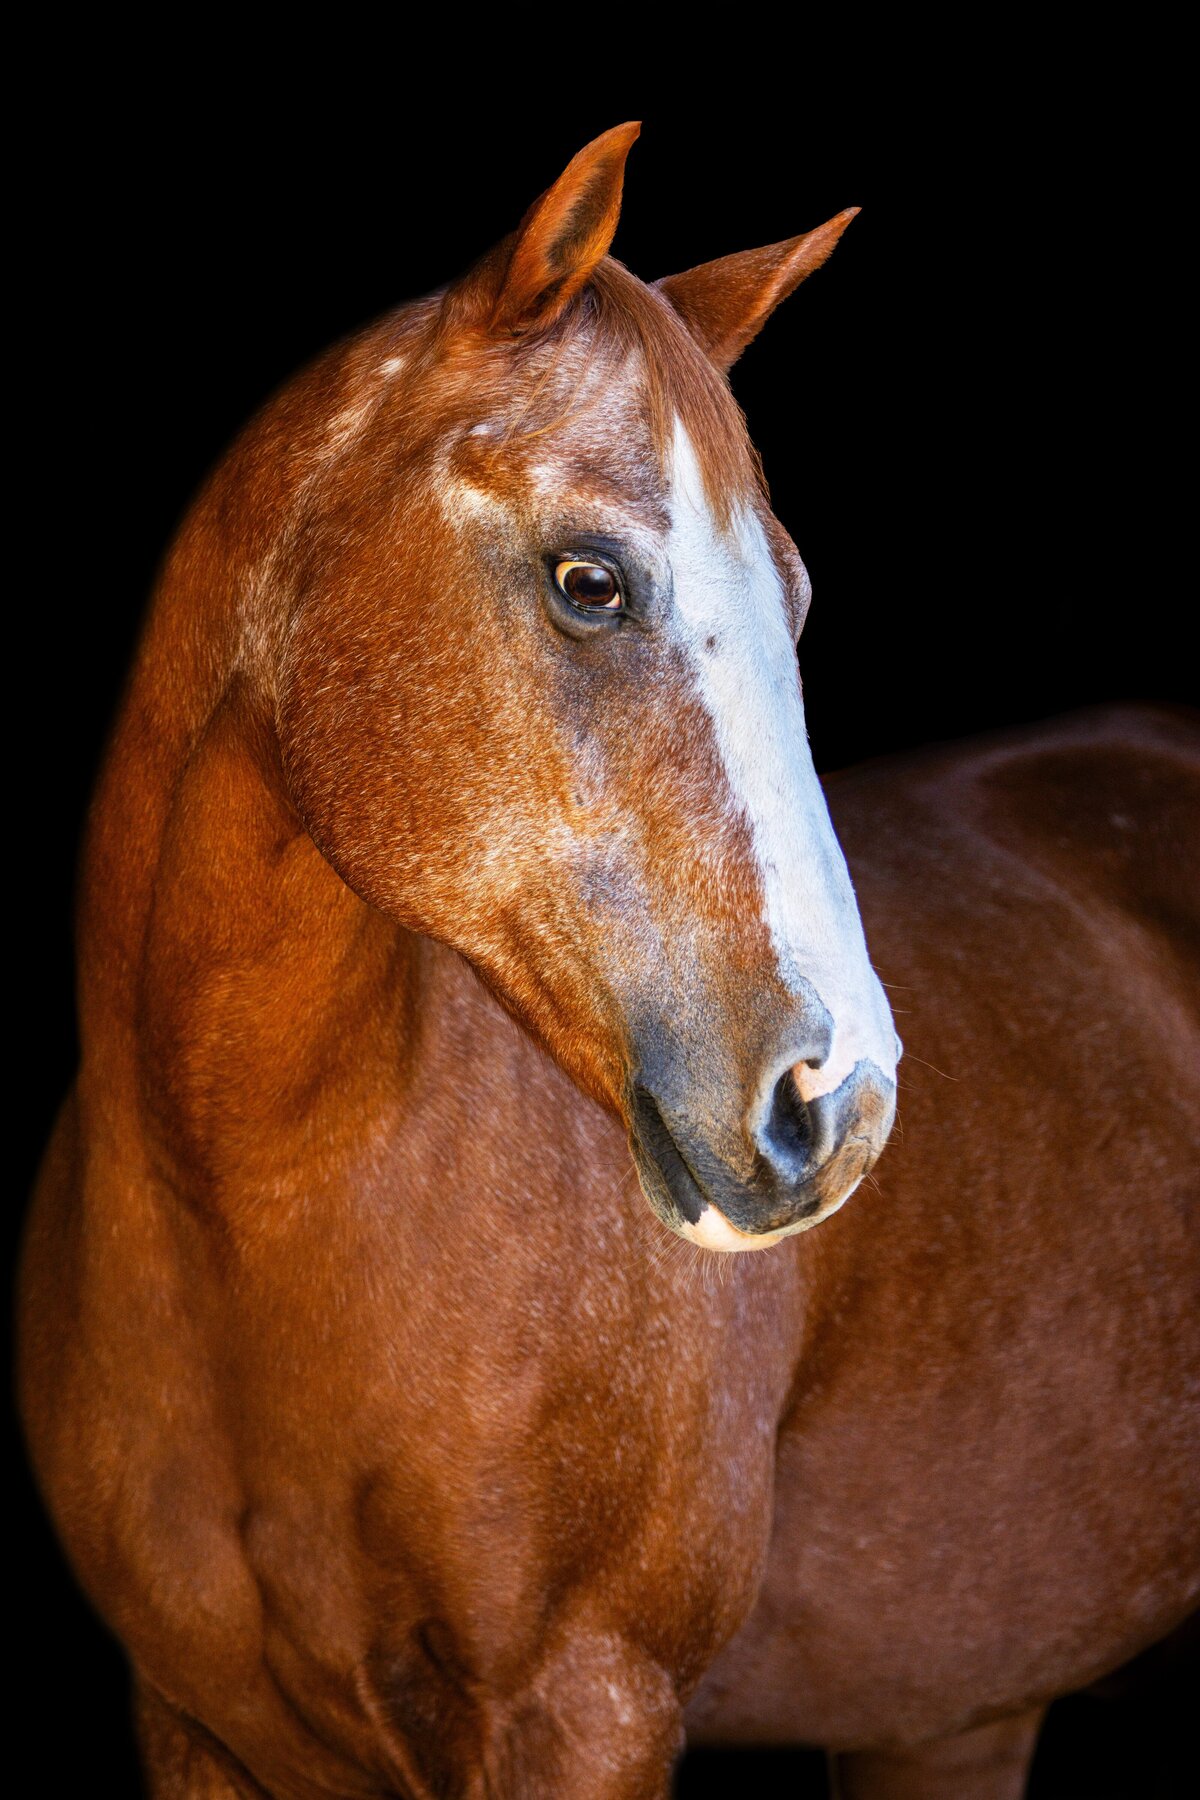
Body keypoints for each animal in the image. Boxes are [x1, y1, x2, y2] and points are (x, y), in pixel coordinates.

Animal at [18, 121, 1198, 1799]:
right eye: (590, 580)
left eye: (797, 599)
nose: (839, 1106)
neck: (244, 1214)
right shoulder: (194, 1727)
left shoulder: (586, 1711)